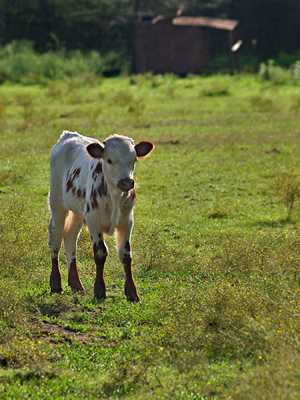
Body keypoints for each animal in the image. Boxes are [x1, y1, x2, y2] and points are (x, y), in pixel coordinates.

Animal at [48, 130, 155, 302]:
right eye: (109, 160)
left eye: (134, 159)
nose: (127, 182)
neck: (114, 197)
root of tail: (68, 135)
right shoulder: (94, 221)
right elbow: (100, 253)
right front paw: (99, 290)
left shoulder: (127, 222)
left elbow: (126, 255)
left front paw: (132, 292)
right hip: (57, 205)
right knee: (55, 239)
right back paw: (56, 284)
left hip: (78, 212)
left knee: (70, 238)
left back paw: (75, 284)